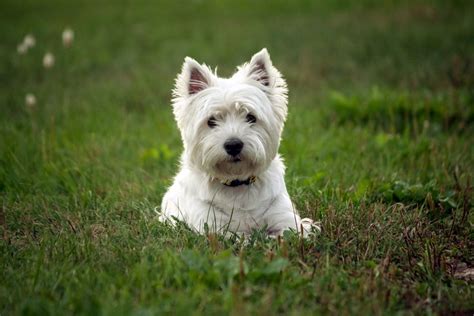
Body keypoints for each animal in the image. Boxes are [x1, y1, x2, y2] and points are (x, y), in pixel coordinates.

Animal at [159, 48, 318, 237]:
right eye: (211, 121)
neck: (237, 185)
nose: (233, 145)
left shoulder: (286, 219)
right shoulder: (212, 225)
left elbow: (290, 233)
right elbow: (238, 237)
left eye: (251, 117)